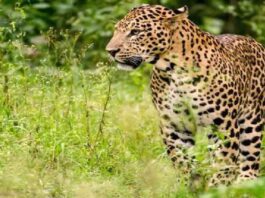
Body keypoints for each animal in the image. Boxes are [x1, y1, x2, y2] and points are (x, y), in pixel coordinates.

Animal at [105, 4, 264, 187]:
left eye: (135, 32)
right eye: (116, 30)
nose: (110, 51)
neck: (174, 71)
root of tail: (254, 41)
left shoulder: (223, 126)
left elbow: (222, 164)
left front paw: (215, 188)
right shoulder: (174, 126)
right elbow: (182, 160)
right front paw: (186, 186)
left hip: (252, 122)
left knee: (250, 159)